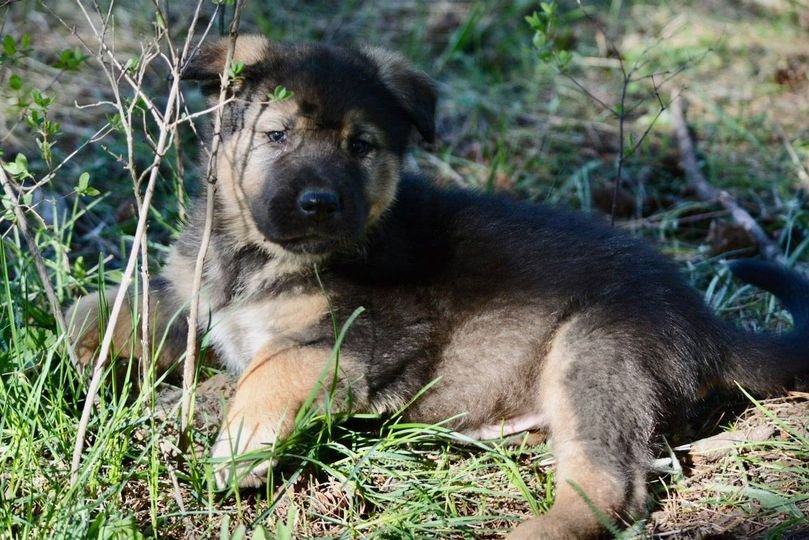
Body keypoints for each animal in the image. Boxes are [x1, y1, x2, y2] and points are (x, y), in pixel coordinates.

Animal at [69, 35, 808, 536]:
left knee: (611, 485)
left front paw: (237, 446)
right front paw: (76, 350)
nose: (318, 204)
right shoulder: (202, 303)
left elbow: (267, 372)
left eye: (360, 146)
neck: (254, 254)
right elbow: (109, 309)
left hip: (595, 350)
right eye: (276, 136)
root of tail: (704, 320)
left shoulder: (360, 339)